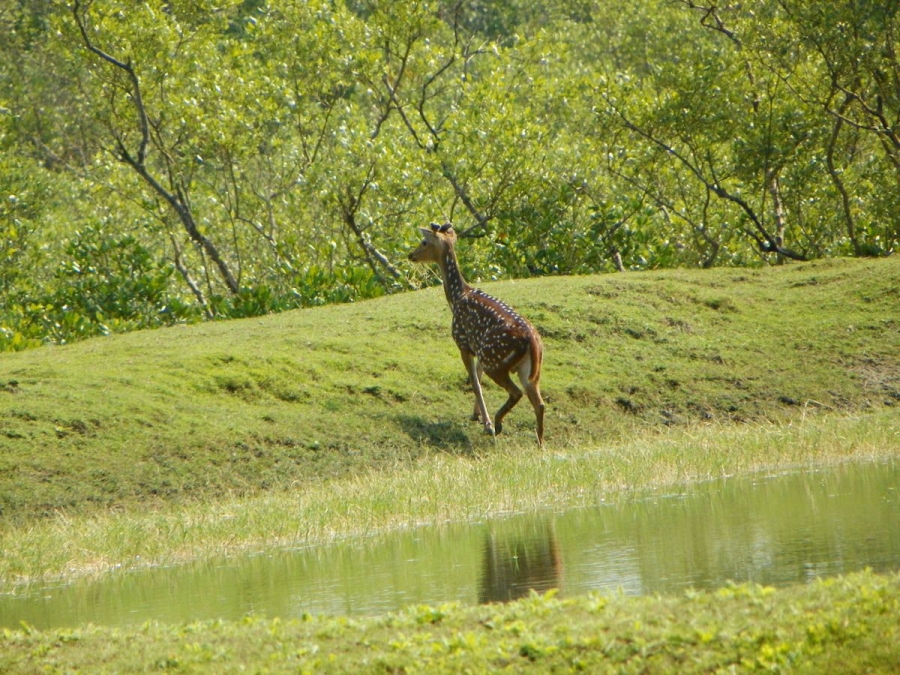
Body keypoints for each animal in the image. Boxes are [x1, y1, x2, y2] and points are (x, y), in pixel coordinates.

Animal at [410, 222, 548, 446]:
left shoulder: (463, 343)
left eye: (424, 242)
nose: (410, 255)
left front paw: (487, 424)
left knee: (516, 392)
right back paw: (540, 443)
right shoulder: (477, 346)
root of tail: (533, 342)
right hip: (527, 369)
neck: (457, 297)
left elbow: (475, 383)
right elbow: (479, 378)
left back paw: (498, 425)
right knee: (539, 403)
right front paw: (476, 415)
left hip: (495, 360)